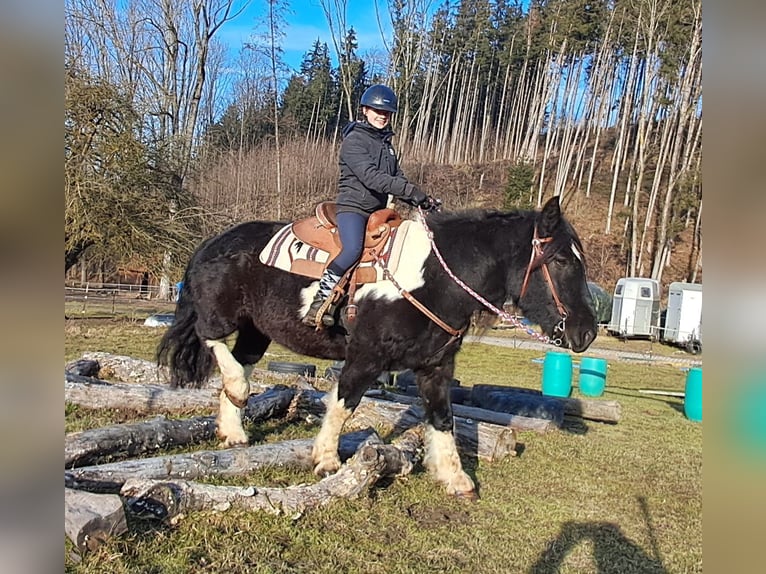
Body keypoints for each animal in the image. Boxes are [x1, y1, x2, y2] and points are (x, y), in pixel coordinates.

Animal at [158, 196, 600, 498]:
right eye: (561, 260)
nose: (587, 333)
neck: (434, 278)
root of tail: (211, 242)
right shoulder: (365, 356)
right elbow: (343, 403)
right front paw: (327, 459)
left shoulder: (436, 367)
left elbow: (443, 418)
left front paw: (455, 478)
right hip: (223, 316)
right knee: (210, 337)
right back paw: (237, 390)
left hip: (256, 331)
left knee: (240, 362)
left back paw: (233, 430)